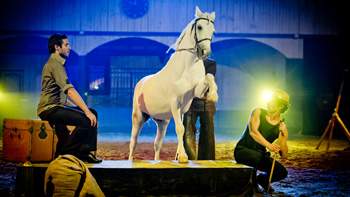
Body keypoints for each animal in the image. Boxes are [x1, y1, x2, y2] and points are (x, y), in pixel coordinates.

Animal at [128, 6, 216, 163]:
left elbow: (209, 76)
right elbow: (180, 129)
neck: (186, 68)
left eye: (213, 30)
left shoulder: (197, 92)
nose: (205, 52)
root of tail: (141, 82)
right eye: (199, 27)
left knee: (157, 143)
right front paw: (183, 156)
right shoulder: (175, 102)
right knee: (133, 142)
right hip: (138, 117)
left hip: (162, 122)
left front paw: (213, 95)